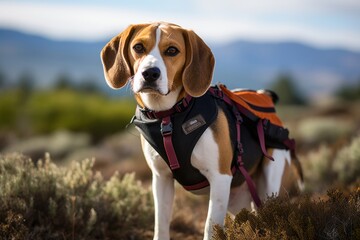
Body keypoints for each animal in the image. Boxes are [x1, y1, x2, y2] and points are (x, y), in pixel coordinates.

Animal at [100, 22, 302, 240]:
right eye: (138, 47)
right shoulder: (161, 179)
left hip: (269, 185)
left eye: (172, 50)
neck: (169, 116)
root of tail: (266, 96)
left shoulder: (220, 178)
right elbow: (161, 225)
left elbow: (210, 227)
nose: (150, 73)